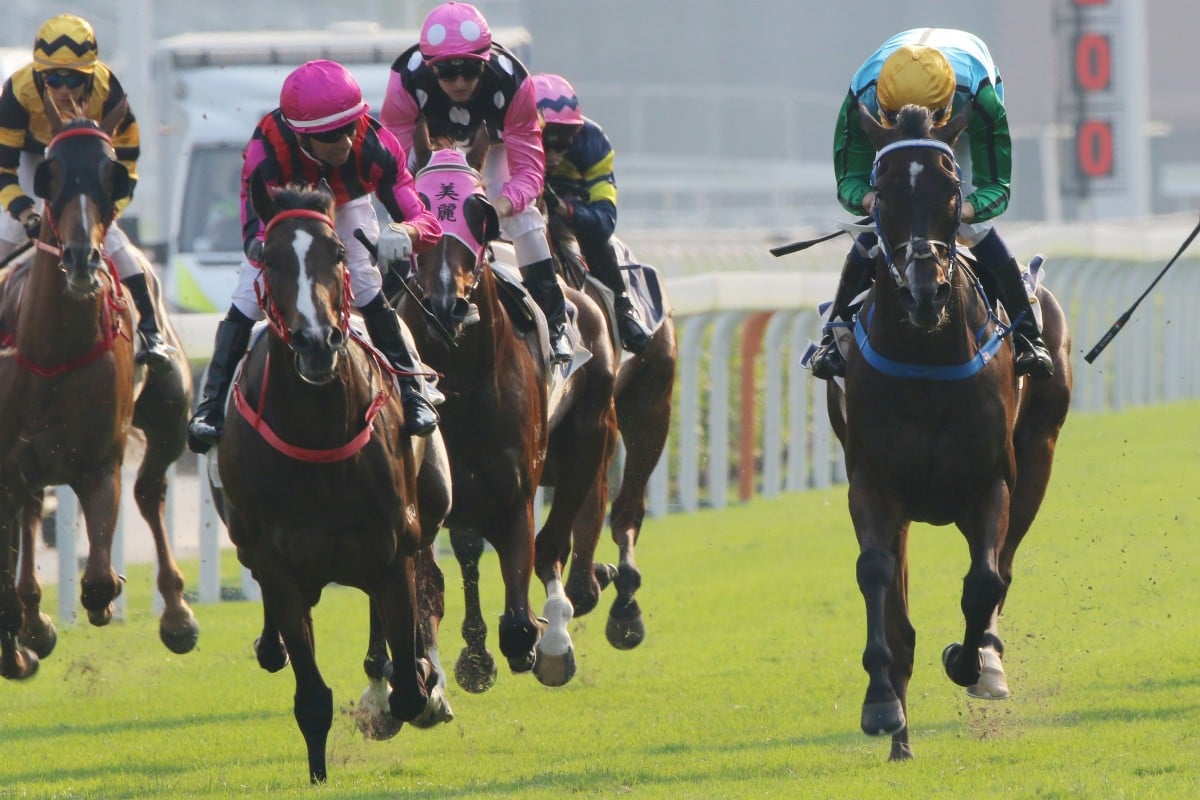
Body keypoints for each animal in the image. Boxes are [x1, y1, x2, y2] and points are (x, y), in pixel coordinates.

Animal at [0, 107, 196, 681]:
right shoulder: (8, 464)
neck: (50, 350)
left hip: (169, 417)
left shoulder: (98, 462)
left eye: (112, 175)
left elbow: (100, 581)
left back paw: (177, 615)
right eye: (53, 174)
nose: (83, 256)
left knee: (150, 492)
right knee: (28, 513)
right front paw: (25, 638)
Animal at [208, 176, 451, 782]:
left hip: (428, 511)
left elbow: (408, 686)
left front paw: (414, 691)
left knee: (421, 588)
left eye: (337, 253)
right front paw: (318, 773)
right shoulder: (279, 565)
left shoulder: (391, 546)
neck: (318, 437)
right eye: (269, 258)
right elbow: (312, 696)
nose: (317, 342)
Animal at [405, 140, 619, 690]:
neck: (463, 383)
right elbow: (439, 578)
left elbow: (520, 620)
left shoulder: (517, 487)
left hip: (588, 435)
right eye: (415, 207)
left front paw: (537, 639)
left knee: (553, 542)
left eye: (478, 213)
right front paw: (469, 660)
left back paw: (560, 629)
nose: (447, 305)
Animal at [830, 103, 1075, 762]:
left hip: (1039, 457)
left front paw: (970, 662)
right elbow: (874, 574)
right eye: (884, 191)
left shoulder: (990, 483)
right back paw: (901, 734)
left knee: (1004, 566)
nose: (925, 291)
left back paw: (987, 660)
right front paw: (882, 704)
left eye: (951, 189)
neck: (925, 355)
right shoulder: (872, 484)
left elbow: (985, 580)